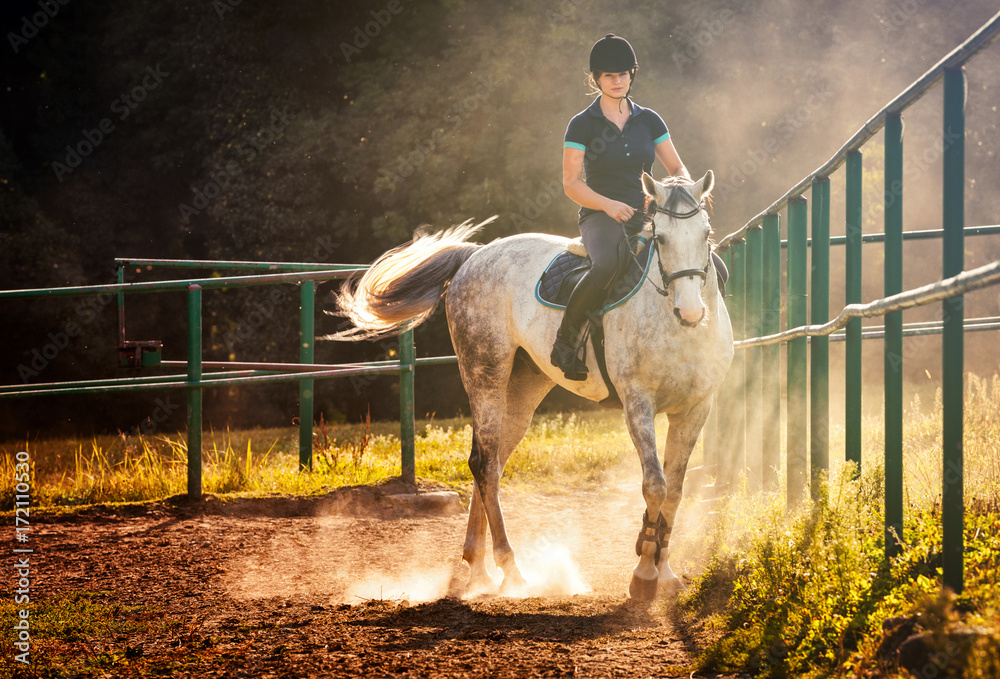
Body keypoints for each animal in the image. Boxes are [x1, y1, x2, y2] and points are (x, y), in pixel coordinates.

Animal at [332, 173, 732, 604]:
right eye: (661, 238)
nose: (690, 312)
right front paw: (643, 574)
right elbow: (655, 485)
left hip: (524, 389)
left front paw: (666, 573)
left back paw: (478, 569)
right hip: (485, 374)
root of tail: (474, 257)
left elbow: (675, 491)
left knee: (489, 463)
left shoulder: (696, 409)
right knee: (484, 464)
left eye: (706, 234)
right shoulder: (637, 403)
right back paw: (511, 571)